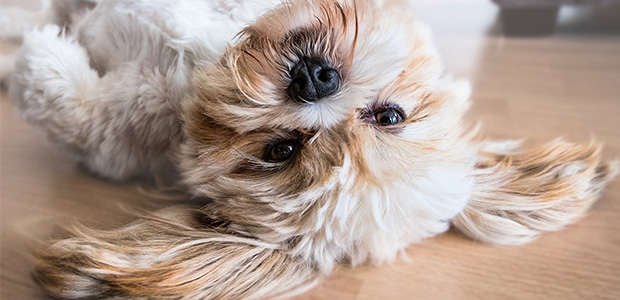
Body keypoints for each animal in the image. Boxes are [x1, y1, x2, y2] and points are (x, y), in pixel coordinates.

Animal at [2, 0, 616, 298]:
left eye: (281, 150)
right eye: (390, 117)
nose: (313, 78)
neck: (200, 62)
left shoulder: (115, 132)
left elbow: (67, 101)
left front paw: (35, 59)